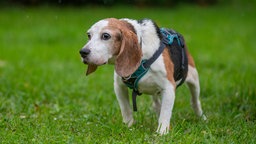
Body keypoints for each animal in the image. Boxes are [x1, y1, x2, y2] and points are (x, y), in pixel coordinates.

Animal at [79, 18, 207, 135]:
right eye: (89, 35)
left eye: (106, 36)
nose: (83, 52)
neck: (143, 54)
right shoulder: (119, 87)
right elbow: (126, 109)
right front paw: (128, 126)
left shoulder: (169, 88)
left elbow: (165, 113)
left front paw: (162, 132)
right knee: (156, 104)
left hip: (194, 80)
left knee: (195, 101)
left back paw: (202, 117)